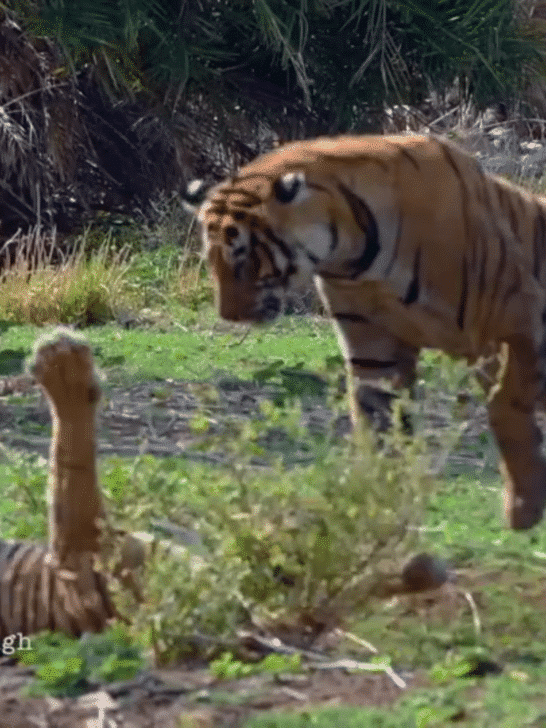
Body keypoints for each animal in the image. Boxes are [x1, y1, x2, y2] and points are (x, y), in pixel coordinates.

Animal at [183, 133, 546, 531]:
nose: (228, 316)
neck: (350, 255)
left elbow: (507, 408)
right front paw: (379, 507)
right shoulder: (372, 348)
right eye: (211, 259)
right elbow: (378, 427)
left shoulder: (516, 319)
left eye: (244, 256)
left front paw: (523, 509)